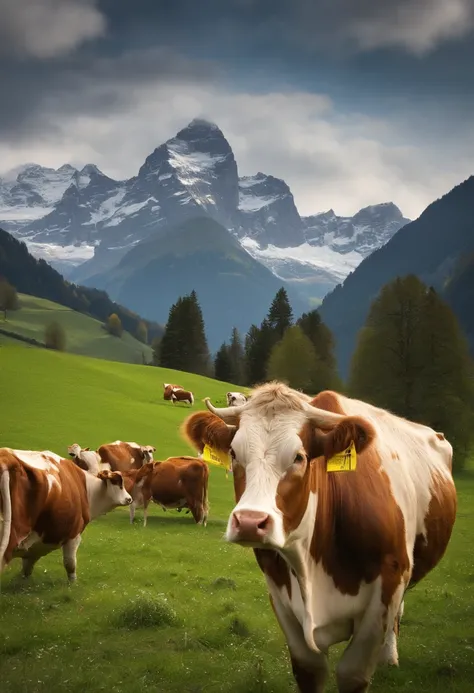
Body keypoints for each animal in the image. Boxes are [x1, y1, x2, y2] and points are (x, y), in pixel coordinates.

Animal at [0, 446, 131, 580]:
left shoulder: (33, 549)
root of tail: (7, 457)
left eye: (97, 460)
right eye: (118, 482)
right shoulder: (73, 535)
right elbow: (70, 564)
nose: (129, 498)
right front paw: (72, 583)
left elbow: (27, 567)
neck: (88, 488)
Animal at [183, 382, 458, 692]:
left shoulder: (388, 584)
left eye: (299, 457)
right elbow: (309, 669)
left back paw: (390, 656)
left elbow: (353, 673)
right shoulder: (280, 594)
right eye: (233, 453)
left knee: (398, 613)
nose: (250, 522)